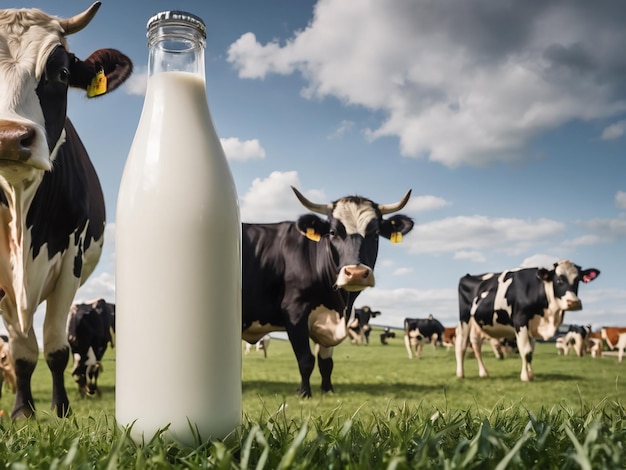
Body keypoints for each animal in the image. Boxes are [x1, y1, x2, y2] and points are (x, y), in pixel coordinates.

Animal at [0, 2, 132, 414]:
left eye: (60, 73)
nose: (8, 137)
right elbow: (22, 350)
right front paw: (22, 412)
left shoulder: (70, 260)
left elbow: (55, 348)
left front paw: (60, 410)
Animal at [241, 187, 412, 396]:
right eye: (333, 232)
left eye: (375, 233)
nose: (355, 273)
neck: (339, 307)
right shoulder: (294, 311)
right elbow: (306, 359)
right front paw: (303, 393)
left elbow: (326, 363)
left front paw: (327, 390)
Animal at [454, 260, 600, 382]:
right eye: (559, 280)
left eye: (577, 280)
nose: (574, 302)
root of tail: (468, 276)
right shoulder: (520, 320)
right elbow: (526, 351)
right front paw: (525, 377)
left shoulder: (532, 326)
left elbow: (531, 352)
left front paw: (530, 373)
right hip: (465, 319)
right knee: (461, 344)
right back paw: (460, 374)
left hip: (477, 324)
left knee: (476, 344)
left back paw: (483, 373)